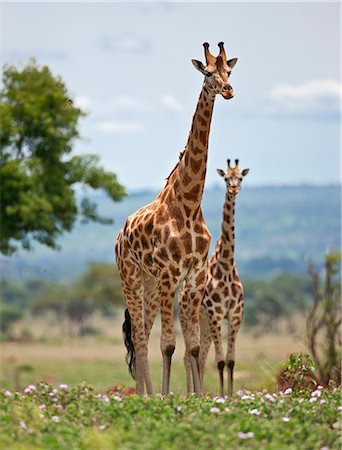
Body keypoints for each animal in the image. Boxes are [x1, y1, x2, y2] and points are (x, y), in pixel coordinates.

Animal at [115, 41, 238, 394]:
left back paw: (144, 392)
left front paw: (196, 397)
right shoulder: (171, 273)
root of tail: (119, 235)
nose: (228, 90)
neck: (189, 202)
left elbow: (193, 347)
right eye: (208, 73)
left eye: (229, 70)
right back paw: (145, 396)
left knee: (142, 328)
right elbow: (168, 344)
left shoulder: (194, 274)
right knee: (140, 333)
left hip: (150, 280)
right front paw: (167, 397)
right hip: (130, 275)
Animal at [184, 159, 248, 398]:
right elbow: (220, 361)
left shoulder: (235, 314)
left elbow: (231, 360)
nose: (234, 189)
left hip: (205, 323)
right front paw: (222, 395)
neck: (226, 266)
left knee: (200, 357)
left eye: (240, 177)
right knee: (188, 356)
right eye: (226, 178)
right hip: (189, 317)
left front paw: (229, 394)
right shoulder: (216, 314)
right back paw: (191, 393)